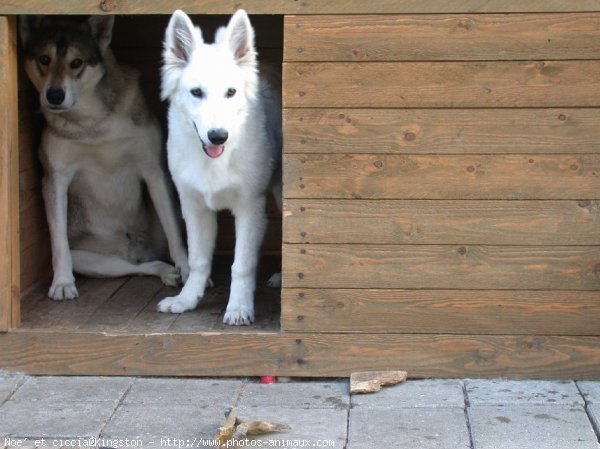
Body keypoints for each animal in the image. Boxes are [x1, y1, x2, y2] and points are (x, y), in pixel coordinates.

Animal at [21, 15, 189, 300]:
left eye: (76, 62)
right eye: (44, 59)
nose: (54, 95)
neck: (93, 122)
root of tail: (135, 249)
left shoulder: (153, 170)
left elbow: (176, 237)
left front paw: (189, 271)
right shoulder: (55, 179)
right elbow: (58, 244)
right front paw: (62, 283)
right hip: (93, 260)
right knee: (140, 266)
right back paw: (165, 271)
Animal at [158, 8, 282, 324]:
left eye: (230, 92)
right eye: (196, 92)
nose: (218, 136)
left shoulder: (250, 207)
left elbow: (242, 265)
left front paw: (238, 307)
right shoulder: (194, 207)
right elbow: (198, 260)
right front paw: (187, 299)